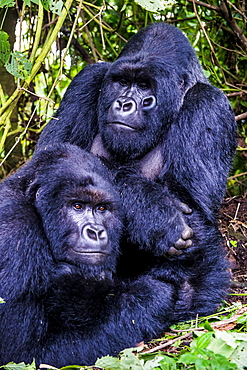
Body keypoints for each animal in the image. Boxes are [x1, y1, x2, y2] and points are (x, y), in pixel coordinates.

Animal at [0, 145, 230, 368]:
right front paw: (155, 295)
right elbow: (24, 353)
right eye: (77, 206)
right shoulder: (17, 233)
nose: (95, 232)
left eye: (102, 208)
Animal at [36, 22, 235, 316]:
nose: (123, 103)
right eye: (121, 83)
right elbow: (50, 159)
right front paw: (157, 214)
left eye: (143, 86)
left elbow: (195, 211)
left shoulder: (209, 104)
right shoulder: (87, 80)